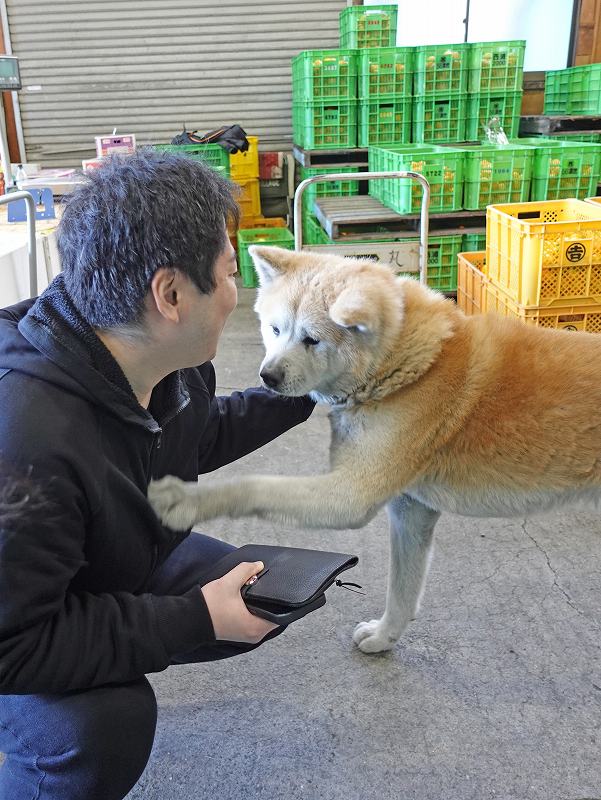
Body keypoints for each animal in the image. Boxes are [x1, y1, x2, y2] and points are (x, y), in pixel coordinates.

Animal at [148, 247, 600, 652]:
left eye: (311, 339)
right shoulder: (410, 512)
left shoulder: (352, 494)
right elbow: (402, 589)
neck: (411, 366)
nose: (268, 377)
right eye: (275, 330)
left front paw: (186, 500)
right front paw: (385, 638)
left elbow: (255, 485)